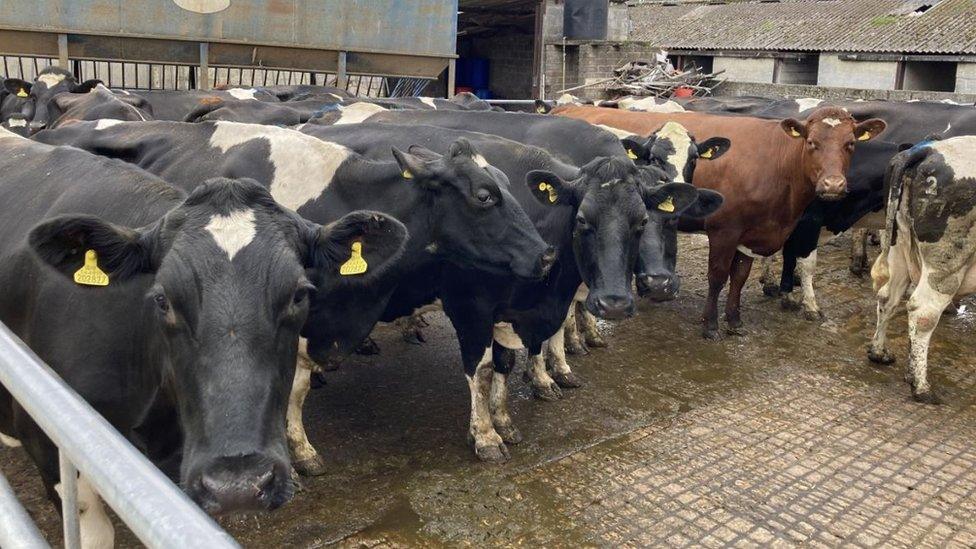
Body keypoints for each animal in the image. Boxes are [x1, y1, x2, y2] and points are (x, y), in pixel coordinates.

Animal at [556, 101, 884, 334]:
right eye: (812, 142)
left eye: (850, 144)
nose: (833, 185)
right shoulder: (724, 230)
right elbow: (717, 276)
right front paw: (710, 325)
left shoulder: (751, 235)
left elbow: (739, 277)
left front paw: (734, 320)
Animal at [868, 137, 976, 402]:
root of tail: (926, 149)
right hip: (946, 263)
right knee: (922, 311)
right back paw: (921, 386)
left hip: (899, 246)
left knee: (888, 297)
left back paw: (881, 353)